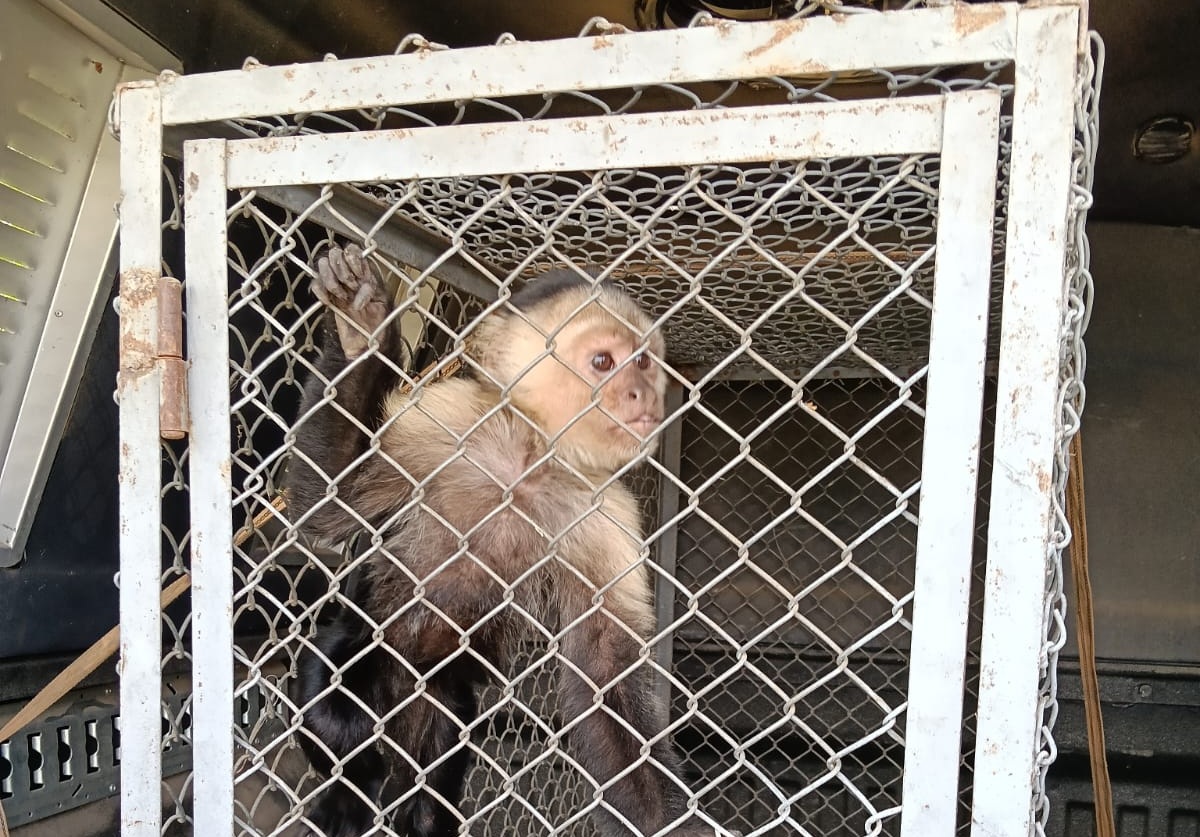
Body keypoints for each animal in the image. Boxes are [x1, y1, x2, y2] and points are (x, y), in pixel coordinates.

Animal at [286, 245, 715, 837]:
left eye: (646, 363)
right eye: (603, 363)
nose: (642, 394)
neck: (531, 460)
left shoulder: (609, 512)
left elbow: (606, 674)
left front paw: (669, 821)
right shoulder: (445, 419)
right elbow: (328, 508)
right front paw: (362, 331)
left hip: (440, 695)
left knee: (437, 758)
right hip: (370, 650)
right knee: (334, 698)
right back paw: (348, 790)